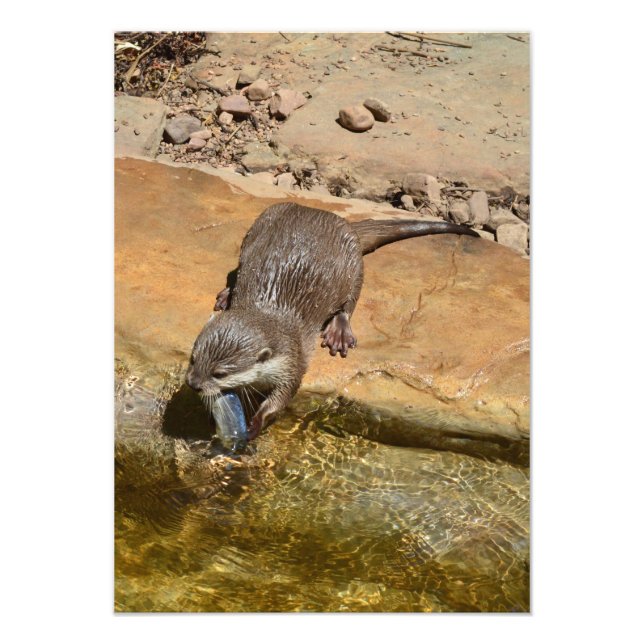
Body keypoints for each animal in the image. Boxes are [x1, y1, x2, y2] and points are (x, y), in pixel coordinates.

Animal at [185, 202, 478, 442]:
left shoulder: (293, 361)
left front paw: (256, 423)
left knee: (349, 302)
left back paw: (339, 332)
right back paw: (227, 295)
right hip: (258, 227)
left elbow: (282, 398)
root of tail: (334, 218)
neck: (268, 311)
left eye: (220, 373)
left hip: (354, 265)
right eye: (193, 358)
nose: (193, 383)